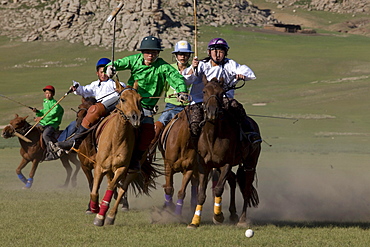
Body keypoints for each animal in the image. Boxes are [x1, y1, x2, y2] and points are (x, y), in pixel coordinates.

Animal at [79, 81, 157, 226]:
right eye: (123, 99)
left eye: (139, 99)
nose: (136, 117)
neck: (116, 138)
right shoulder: (99, 167)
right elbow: (94, 191)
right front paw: (94, 207)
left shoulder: (121, 168)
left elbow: (112, 187)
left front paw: (100, 215)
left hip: (131, 171)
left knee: (122, 188)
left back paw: (110, 216)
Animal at [188, 78, 260, 229]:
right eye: (204, 91)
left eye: (221, 93)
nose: (212, 112)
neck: (212, 137)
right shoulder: (204, 166)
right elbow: (201, 194)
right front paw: (194, 221)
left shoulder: (226, 163)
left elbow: (218, 189)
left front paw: (218, 216)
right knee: (233, 181)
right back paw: (233, 214)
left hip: (250, 163)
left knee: (246, 189)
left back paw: (242, 220)